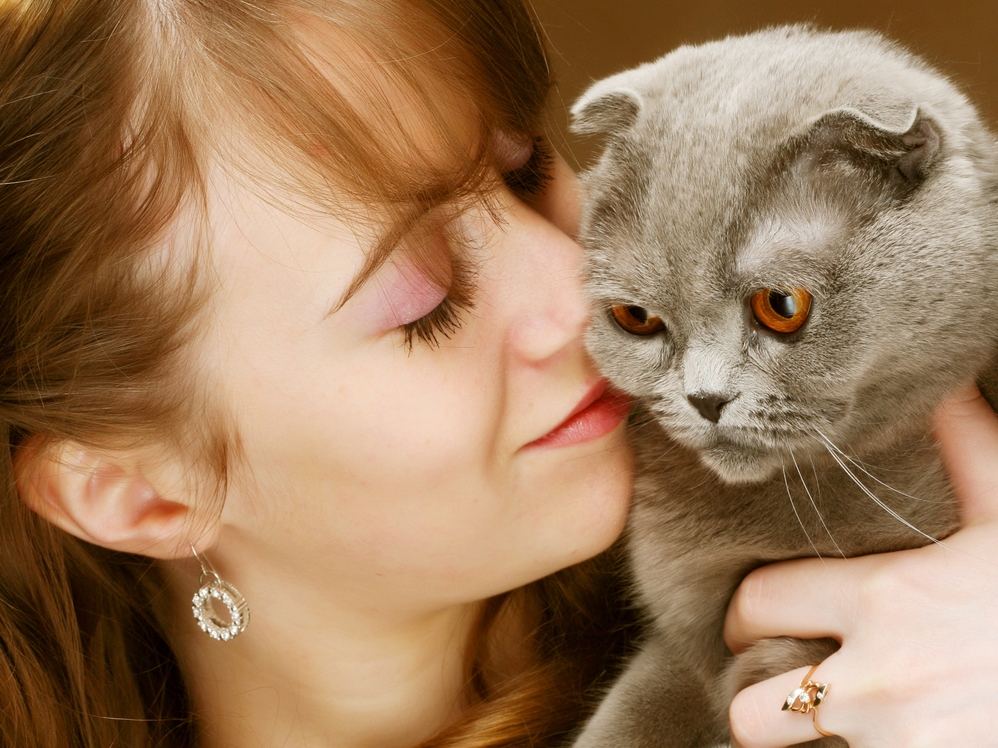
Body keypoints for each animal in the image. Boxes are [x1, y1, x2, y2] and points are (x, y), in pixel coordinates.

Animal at [572, 24, 998, 748]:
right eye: (637, 318)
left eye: (782, 305)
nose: (705, 398)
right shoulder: (679, 643)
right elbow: (627, 716)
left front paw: (772, 665)